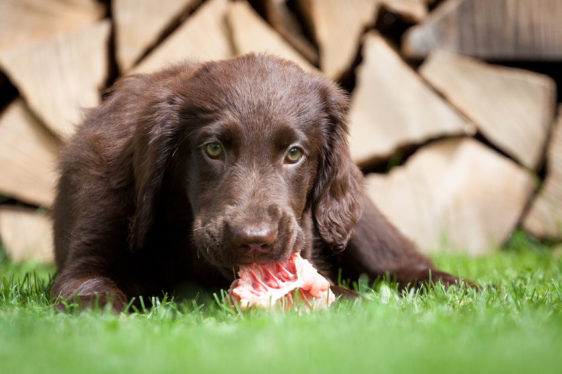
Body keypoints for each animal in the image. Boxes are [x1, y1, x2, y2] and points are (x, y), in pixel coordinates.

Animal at [52, 54, 466, 312]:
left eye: (294, 154)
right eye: (213, 149)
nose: (253, 240)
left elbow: (339, 292)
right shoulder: (88, 254)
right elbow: (91, 293)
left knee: (404, 264)